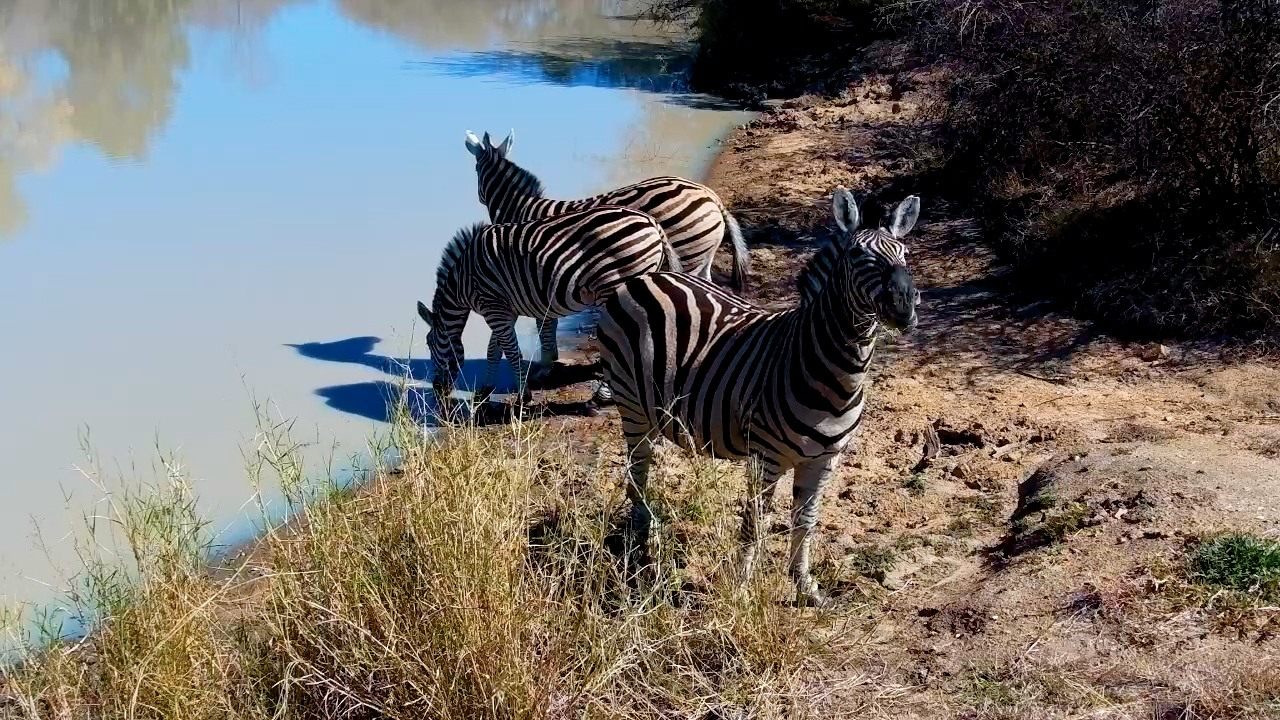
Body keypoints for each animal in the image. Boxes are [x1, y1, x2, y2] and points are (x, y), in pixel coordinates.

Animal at [417, 205, 681, 407]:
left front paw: (523, 396)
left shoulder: (493, 308)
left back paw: (601, 398)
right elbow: (494, 350)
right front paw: (485, 390)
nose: (437, 392)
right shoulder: (504, 311)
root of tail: (651, 222)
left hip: (617, 286)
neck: (463, 282)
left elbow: (511, 352)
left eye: (429, 344)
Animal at [464, 129, 751, 378]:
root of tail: (711, 196)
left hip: (686, 256)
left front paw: (545, 365)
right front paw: (552, 358)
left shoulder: (532, 274)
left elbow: (543, 323)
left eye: (476, 171)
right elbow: (548, 322)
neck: (523, 211)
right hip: (701, 261)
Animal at [596, 187, 921, 606]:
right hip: (631, 405)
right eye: (855, 255)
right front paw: (740, 590)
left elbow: (805, 521)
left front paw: (805, 587)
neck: (831, 371)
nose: (904, 306)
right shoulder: (765, 456)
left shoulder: (825, 459)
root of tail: (650, 276)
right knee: (636, 474)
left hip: (657, 409)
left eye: (905, 254)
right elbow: (755, 522)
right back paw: (641, 551)